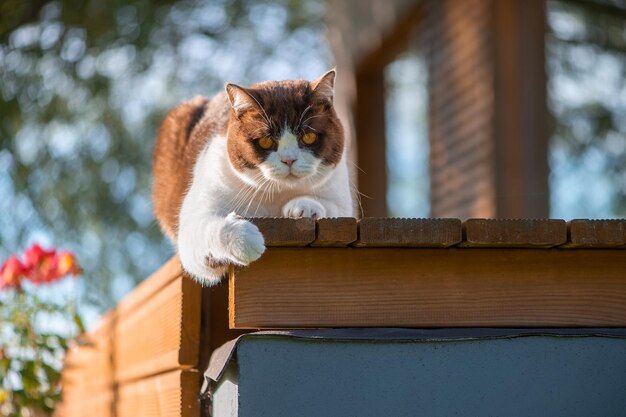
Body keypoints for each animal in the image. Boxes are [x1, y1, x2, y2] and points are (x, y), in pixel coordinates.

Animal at [151, 70, 352, 284]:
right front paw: (245, 240)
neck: (275, 194)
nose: (288, 159)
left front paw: (304, 207)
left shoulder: (340, 196)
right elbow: (202, 229)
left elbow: (333, 207)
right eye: (265, 141)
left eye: (308, 137)